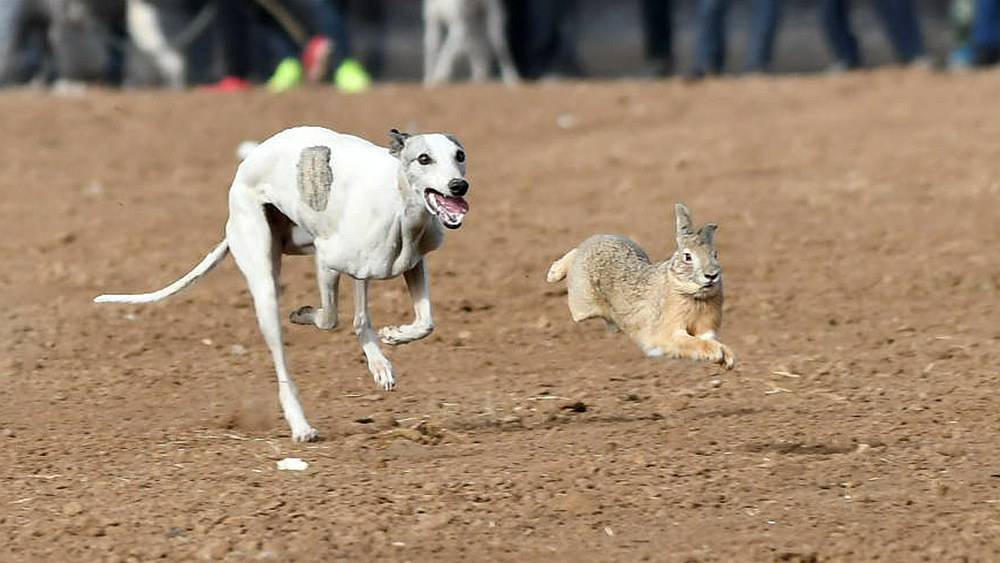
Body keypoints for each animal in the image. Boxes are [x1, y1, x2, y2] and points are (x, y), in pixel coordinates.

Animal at [95, 125, 470, 442]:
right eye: (424, 158)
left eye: (460, 155)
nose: (458, 187)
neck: (399, 204)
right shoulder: (328, 259)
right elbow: (330, 318)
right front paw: (305, 315)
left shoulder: (410, 264)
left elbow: (421, 321)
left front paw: (392, 341)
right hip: (265, 282)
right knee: (283, 356)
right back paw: (301, 425)